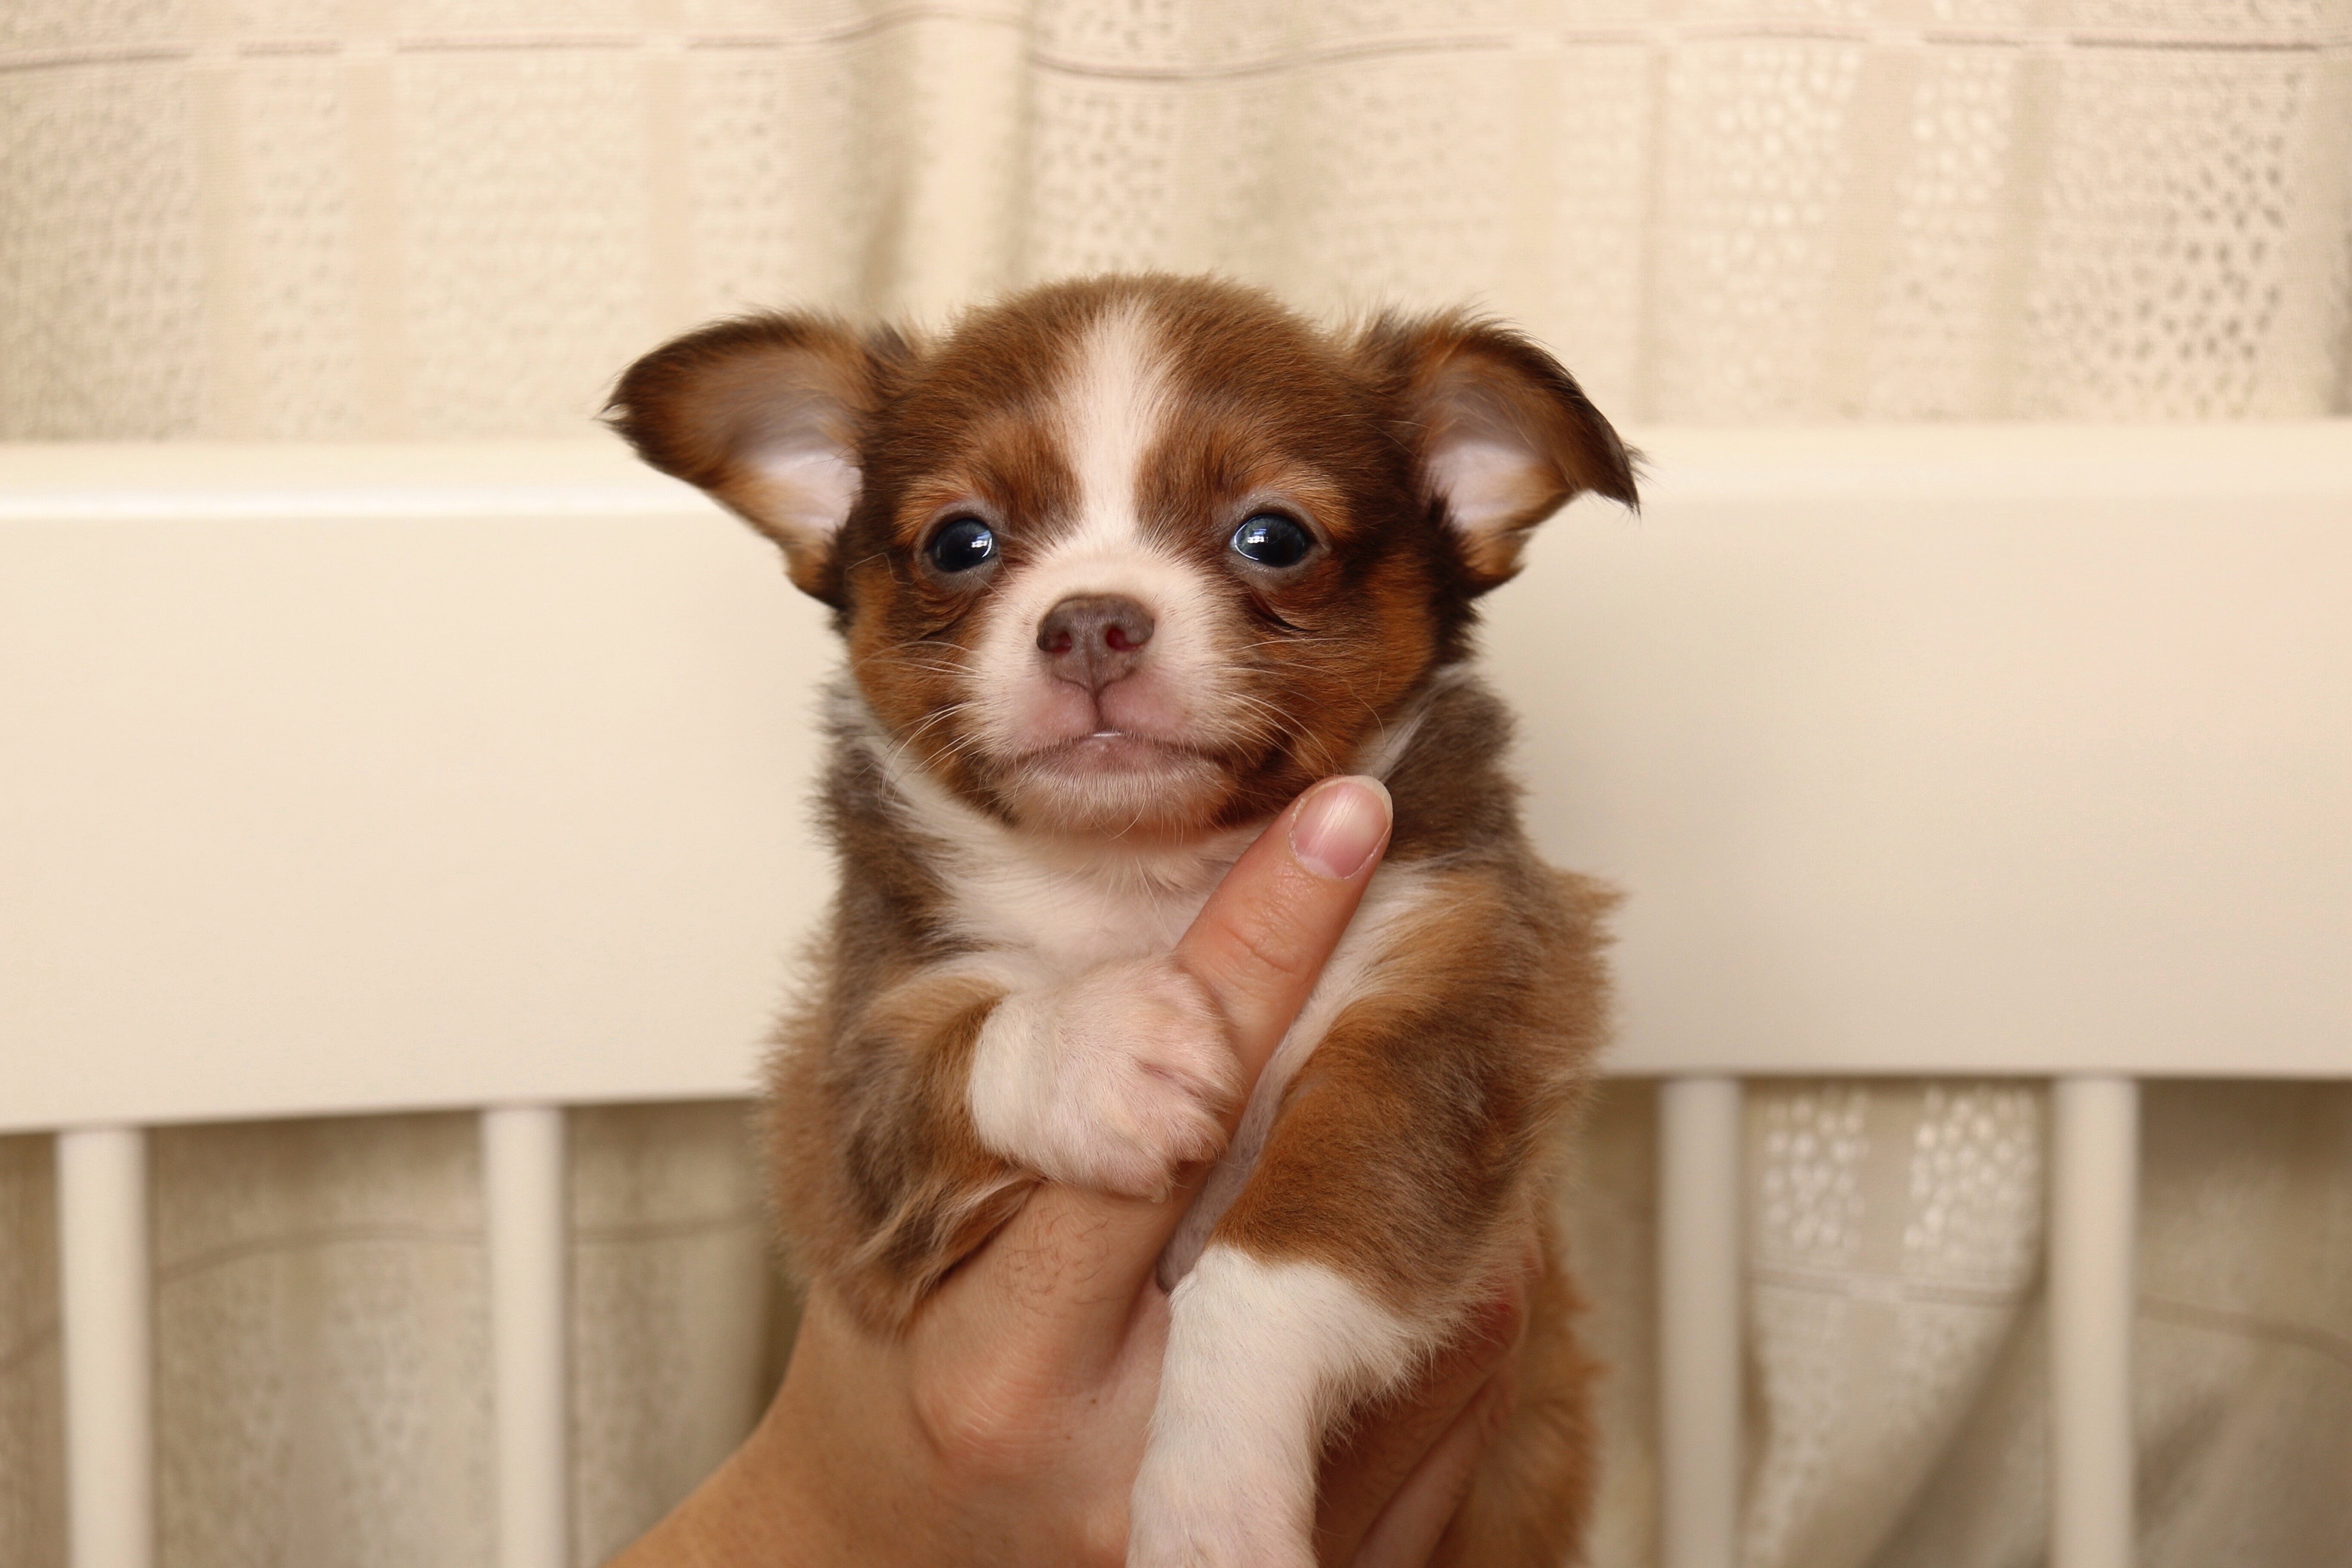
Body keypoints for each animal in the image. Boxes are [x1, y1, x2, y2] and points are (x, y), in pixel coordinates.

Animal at [609, 274, 1633, 1566]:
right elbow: (962, 1044)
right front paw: (1105, 1049)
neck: (1146, 879)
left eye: (1272, 537)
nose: (1092, 618)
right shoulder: (851, 1087)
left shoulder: (1452, 1001)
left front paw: (1212, 1501)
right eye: (960, 544)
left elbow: (1278, 1256)